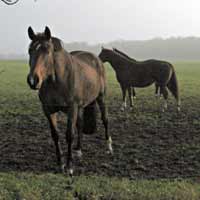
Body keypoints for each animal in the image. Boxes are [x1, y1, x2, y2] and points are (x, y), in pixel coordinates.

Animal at [26, 26, 112, 175]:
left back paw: (109, 147)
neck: (56, 81)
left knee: (105, 119)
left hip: (101, 98)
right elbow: (55, 135)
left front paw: (69, 166)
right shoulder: (48, 109)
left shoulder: (72, 108)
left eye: (47, 51)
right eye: (30, 50)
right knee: (80, 124)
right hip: (81, 106)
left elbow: (69, 135)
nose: (33, 80)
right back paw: (78, 151)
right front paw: (60, 164)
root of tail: (96, 59)